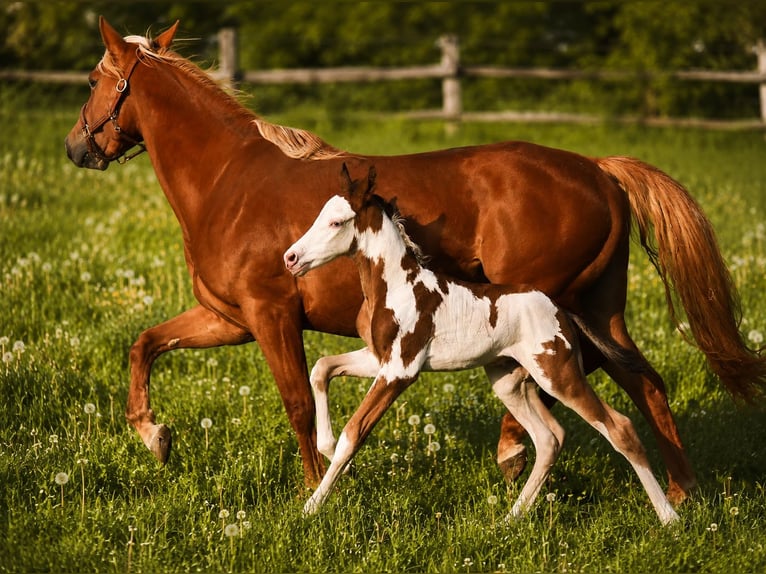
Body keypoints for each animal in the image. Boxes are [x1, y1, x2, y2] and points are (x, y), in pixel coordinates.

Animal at [283, 164, 680, 524]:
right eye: (320, 216)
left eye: (337, 223)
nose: (291, 258)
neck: (395, 286)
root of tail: (559, 307)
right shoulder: (378, 359)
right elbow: (322, 369)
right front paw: (327, 449)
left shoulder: (400, 371)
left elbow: (354, 433)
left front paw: (311, 507)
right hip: (510, 381)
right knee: (549, 439)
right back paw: (510, 519)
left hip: (558, 373)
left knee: (619, 429)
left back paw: (669, 517)